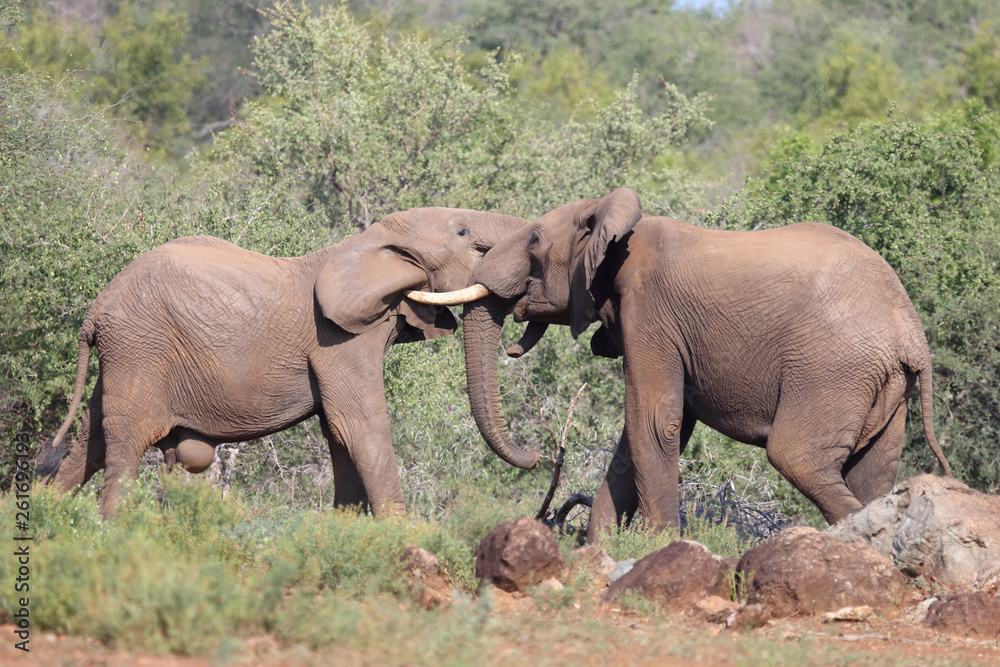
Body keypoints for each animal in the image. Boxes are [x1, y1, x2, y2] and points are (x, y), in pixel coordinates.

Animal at [37, 207, 536, 518]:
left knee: (90, 440)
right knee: (126, 443)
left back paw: (52, 521)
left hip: (123, 357)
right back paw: (114, 531)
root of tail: (95, 310)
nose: (537, 458)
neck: (369, 242)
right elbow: (359, 424)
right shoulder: (338, 339)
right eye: (463, 233)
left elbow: (337, 433)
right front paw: (403, 535)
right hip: (138, 349)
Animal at [442, 187, 952, 542]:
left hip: (831, 369)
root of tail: (911, 333)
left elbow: (653, 420)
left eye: (533, 238)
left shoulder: (650, 314)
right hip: (884, 385)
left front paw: (655, 546)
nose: (537, 456)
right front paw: (600, 548)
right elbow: (640, 434)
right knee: (874, 473)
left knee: (796, 457)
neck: (617, 223)